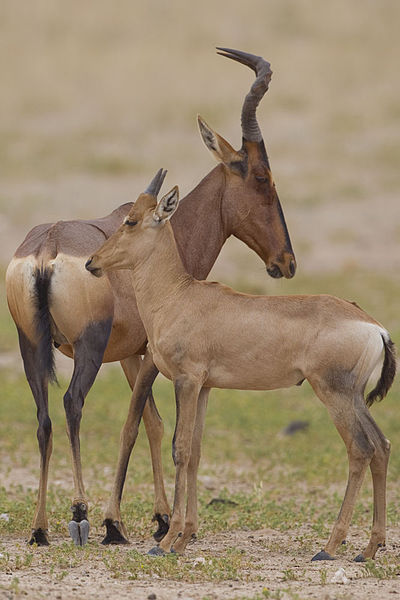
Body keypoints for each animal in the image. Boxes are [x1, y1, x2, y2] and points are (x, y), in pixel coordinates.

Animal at [4, 49, 296, 548]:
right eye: (262, 176)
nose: (286, 261)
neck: (166, 232)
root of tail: (47, 247)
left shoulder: (130, 355)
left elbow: (153, 426)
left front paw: (157, 518)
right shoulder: (146, 357)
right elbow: (135, 425)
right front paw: (116, 523)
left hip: (30, 345)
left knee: (43, 418)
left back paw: (40, 528)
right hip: (87, 348)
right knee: (72, 405)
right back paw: (79, 513)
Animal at [86, 179, 396, 564]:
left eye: (131, 221)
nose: (92, 262)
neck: (179, 296)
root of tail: (375, 327)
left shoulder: (187, 381)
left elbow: (180, 449)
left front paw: (165, 541)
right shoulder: (205, 387)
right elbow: (196, 452)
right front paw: (184, 538)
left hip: (333, 394)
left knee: (360, 449)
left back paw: (328, 547)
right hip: (354, 397)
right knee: (381, 446)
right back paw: (369, 548)